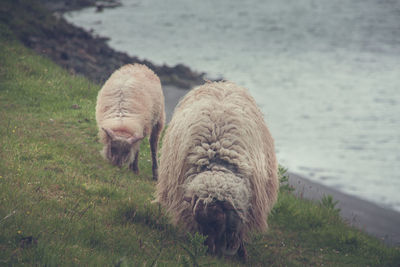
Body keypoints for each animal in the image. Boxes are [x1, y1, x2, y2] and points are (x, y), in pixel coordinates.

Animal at [155, 81, 278, 260]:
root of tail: (221, 83)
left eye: (217, 223)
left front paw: (242, 254)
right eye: (200, 223)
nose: (207, 252)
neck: (217, 163)